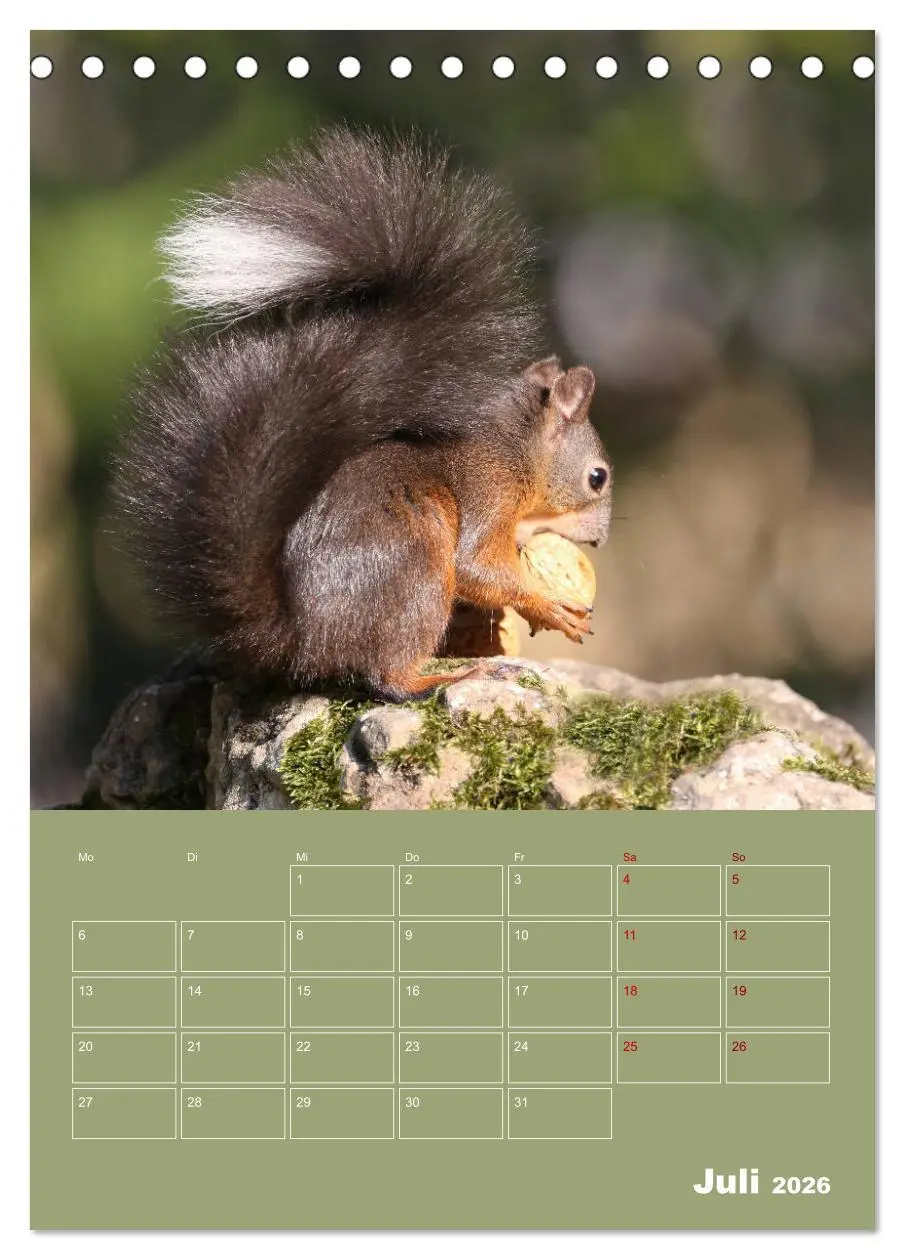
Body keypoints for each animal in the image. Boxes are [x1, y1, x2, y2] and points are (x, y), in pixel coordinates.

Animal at [115, 127, 612, 701]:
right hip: (417, 573)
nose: (599, 540)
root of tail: (303, 641)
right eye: (597, 477)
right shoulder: (489, 495)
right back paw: (446, 675)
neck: (517, 448)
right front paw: (549, 606)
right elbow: (477, 568)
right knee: (386, 676)